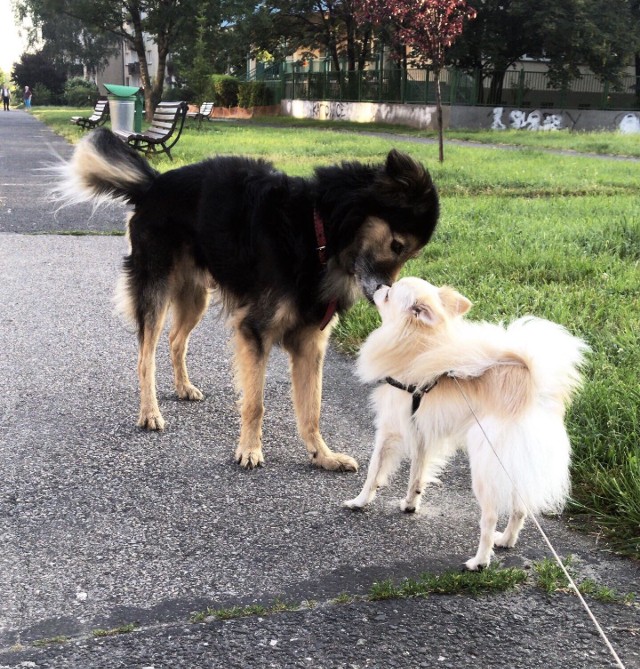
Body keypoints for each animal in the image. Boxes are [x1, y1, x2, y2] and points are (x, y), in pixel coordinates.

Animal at [58, 129, 440, 470]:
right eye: (396, 245)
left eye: (411, 254)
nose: (383, 297)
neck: (318, 232)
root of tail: (153, 185)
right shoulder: (255, 330)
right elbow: (255, 402)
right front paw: (249, 450)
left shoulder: (310, 342)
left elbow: (312, 408)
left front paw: (323, 457)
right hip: (156, 290)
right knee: (145, 357)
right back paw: (150, 412)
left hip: (195, 295)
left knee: (176, 339)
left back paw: (183, 387)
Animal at [344, 276, 592, 568]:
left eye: (389, 295)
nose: (380, 286)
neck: (418, 341)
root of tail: (532, 393)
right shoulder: (422, 435)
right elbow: (416, 474)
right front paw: (410, 504)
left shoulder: (388, 429)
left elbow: (374, 471)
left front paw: (359, 501)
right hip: (515, 464)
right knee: (520, 508)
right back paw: (506, 540)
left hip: (485, 468)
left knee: (490, 516)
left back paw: (480, 561)